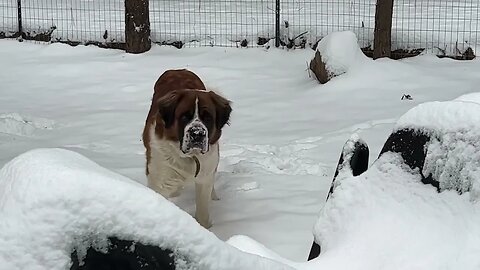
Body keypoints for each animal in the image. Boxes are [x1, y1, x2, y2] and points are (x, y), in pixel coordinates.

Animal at [142, 69, 232, 228]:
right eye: (184, 116)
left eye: (208, 117)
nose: (197, 134)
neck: (190, 157)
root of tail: (177, 69)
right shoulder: (159, 180)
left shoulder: (205, 175)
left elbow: (202, 210)